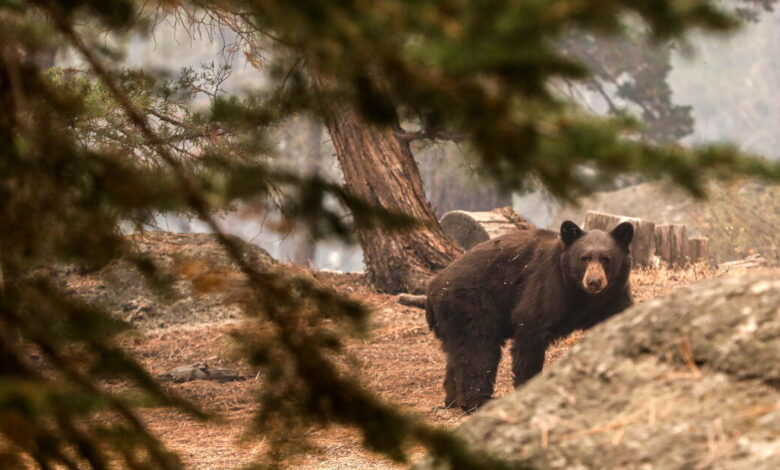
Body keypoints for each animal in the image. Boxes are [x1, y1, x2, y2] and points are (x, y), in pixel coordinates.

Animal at [425, 220, 634, 412]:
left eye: (606, 258)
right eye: (584, 258)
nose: (594, 281)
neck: (582, 294)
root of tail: (432, 289)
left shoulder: (613, 297)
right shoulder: (548, 285)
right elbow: (531, 330)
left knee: (458, 353)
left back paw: (453, 399)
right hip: (470, 305)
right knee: (478, 350)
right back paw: (478, 401)